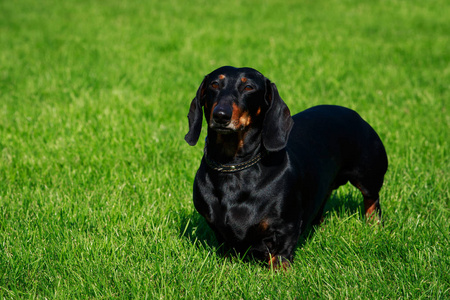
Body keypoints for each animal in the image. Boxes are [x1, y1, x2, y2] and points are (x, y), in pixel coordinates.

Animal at [185, 65, 388, 268]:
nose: (221, 115)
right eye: (214, 84)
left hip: (367, 175)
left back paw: (373, 227)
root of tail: (355, 114)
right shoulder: (219, 230)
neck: (234, 166)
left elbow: (280, 256)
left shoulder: (286, 227)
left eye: (249, 87)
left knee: (372, 200)